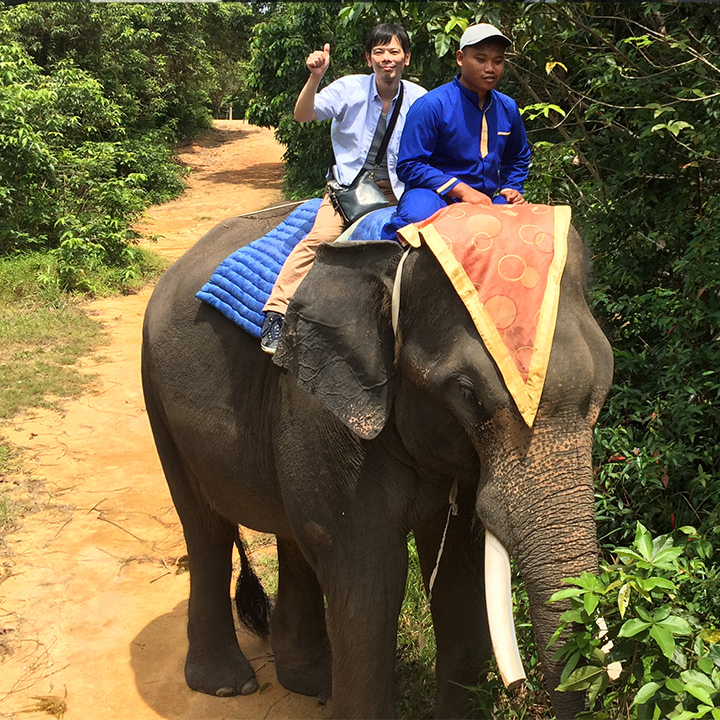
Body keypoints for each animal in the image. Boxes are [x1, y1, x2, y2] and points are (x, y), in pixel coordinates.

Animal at [141, 202, 612, 720]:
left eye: (606, 384)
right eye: (468, 395)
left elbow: (459, 580)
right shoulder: (324, 407)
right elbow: (370, 582)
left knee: (292, 534)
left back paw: (311, 682)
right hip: (156, 392)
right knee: (205, 527)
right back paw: (228, 686)